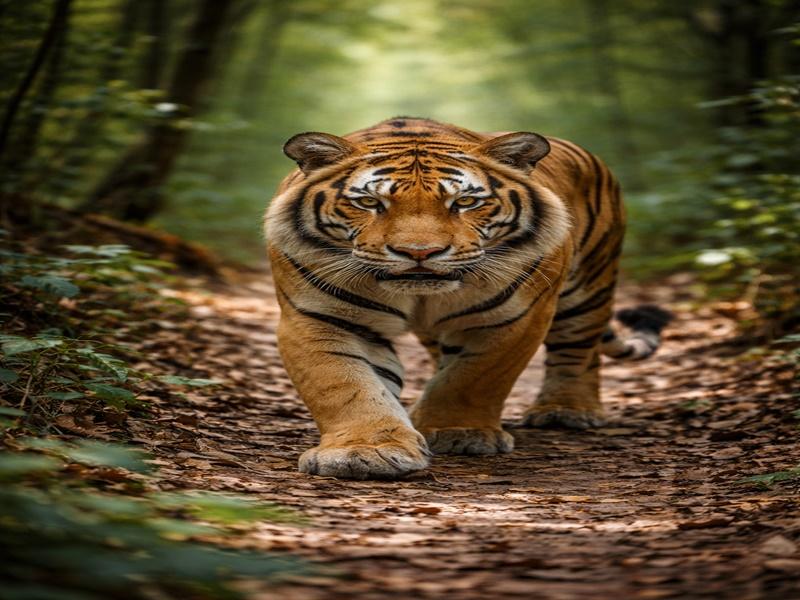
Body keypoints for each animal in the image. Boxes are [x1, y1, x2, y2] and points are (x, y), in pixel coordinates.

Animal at [265, 117, 671, 480]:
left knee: (578, 350)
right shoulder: (319, 318)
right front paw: (364, 452)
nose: (419, 252)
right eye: (368, 202)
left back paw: (567, 410)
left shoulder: (517, 318)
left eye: (464, 202)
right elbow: (344, 385)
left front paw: (457, 432)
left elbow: (472, 378)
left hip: (589, 287)